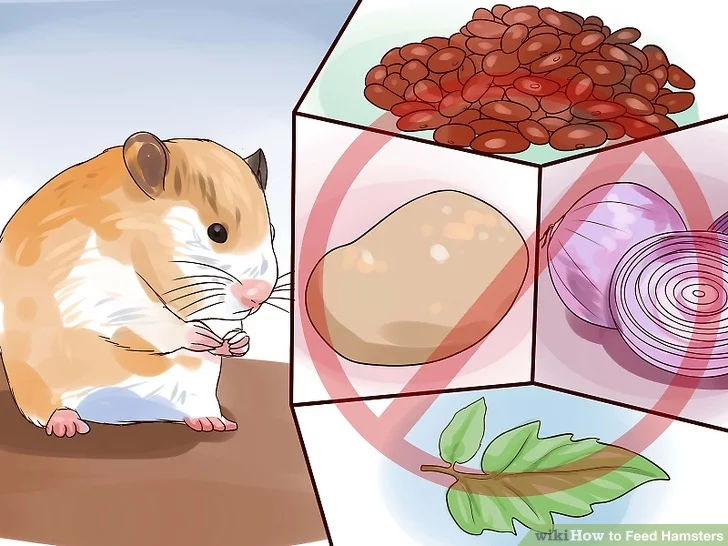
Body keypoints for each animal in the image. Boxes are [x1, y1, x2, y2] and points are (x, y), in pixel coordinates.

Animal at [0, 131, 281, 437]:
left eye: (272, 232)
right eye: (217, 232)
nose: (258, 297)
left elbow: (228, 324)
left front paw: (236, 342)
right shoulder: (103, 294)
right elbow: (148, 322)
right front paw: (200, 337)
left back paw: (213, 422)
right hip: (38, 379)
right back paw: (67, 424)